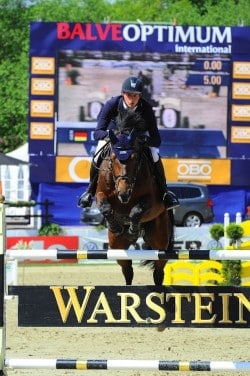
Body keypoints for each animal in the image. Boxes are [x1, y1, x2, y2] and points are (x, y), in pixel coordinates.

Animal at [94, 111, 174, 284]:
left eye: (135, 157)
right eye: (112, 157)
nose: (123, 193)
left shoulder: (152, 201)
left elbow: (136, 210)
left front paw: (132, 229)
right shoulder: (100, 194)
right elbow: (105, 206)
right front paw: (116, 226)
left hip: (160, 240)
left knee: (158, 271)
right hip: (117, 247)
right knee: (127, 270)